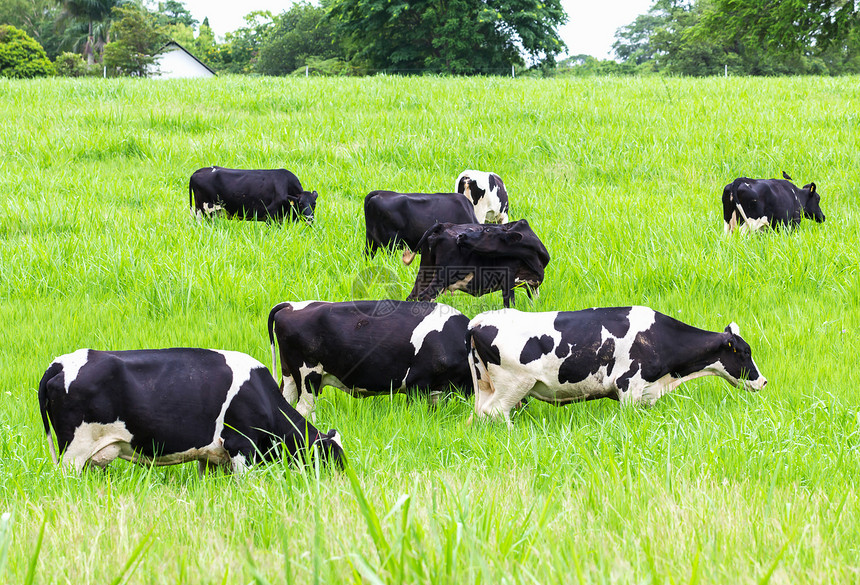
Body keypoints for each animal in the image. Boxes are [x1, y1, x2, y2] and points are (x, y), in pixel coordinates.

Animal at [38, 350, 342, 472]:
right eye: (333, 457)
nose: (344, 482)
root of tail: (60, 363)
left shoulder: (212, 455)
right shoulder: (242, 445)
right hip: (73, 453)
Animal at [189, 169, 320, 224]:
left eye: (314, 204)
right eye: (301, 204)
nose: (310, 219)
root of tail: (198, 171)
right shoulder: (271, 215)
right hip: (204, 210)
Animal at [268, 298, 470, 418]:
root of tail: (291, 305)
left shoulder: (438, 388)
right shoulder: (417, 383)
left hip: (289, 375)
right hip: (308, 376)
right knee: (304, 410)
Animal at [404, 219, 552, 308]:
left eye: (487, 230)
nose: (461, 236)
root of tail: (443, 225)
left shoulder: (532, 285)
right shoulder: (507, 277)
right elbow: (509, 303)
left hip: (426, 270)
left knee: (412, 296)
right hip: (445, 275)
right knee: (425, 296)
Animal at [466, 306, 768, 424]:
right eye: (745, 352)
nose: (763, 381)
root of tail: (480, 320)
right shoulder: (628, 387)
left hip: (487, 385)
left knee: (479, 414)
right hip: (514, 384)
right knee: (496, 412)